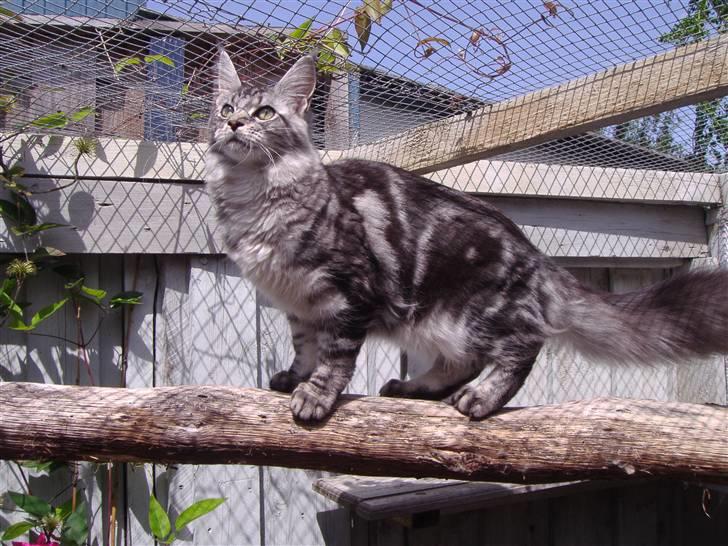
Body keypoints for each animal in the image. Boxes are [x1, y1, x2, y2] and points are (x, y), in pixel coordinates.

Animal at [203, 47, 728, 420]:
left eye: (265, 114)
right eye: (225, 108)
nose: (234, 123)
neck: (254, 196)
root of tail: (537, 258)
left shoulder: (348, 294)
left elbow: (335, 358)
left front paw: (315, 396)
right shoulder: (298, 303)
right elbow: (306, 349)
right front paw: (295, 378)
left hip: (477, 312)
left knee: (522, 347)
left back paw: (482, 398)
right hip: (441, 326)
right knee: (461, 362)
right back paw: (412, 388)